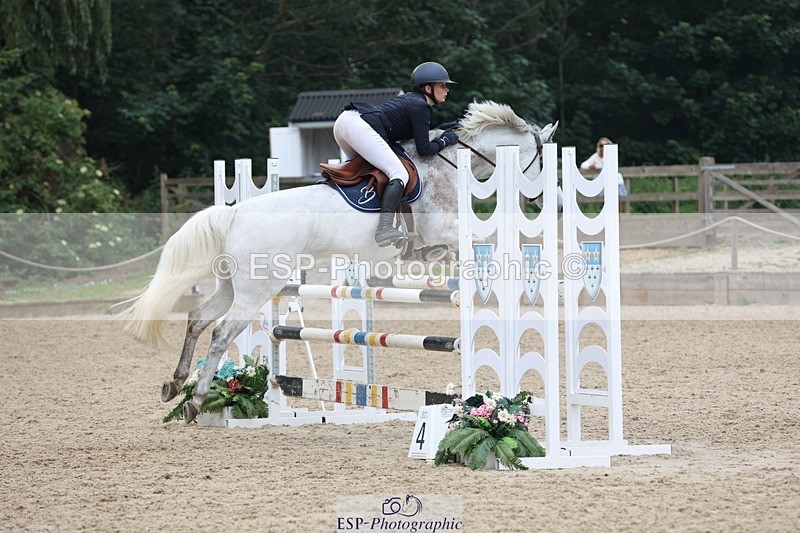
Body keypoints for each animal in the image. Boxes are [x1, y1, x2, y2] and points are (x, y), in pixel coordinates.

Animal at [120, 100, 558, 423]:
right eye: (540, 159)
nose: (546, 200)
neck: (448, 166)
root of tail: (235, 211)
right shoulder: (442, 233)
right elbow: (483, 243)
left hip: (232, 285)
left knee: (198, 318)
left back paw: (175, 384)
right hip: (256, 290)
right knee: (221, 333)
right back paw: (196, 399)